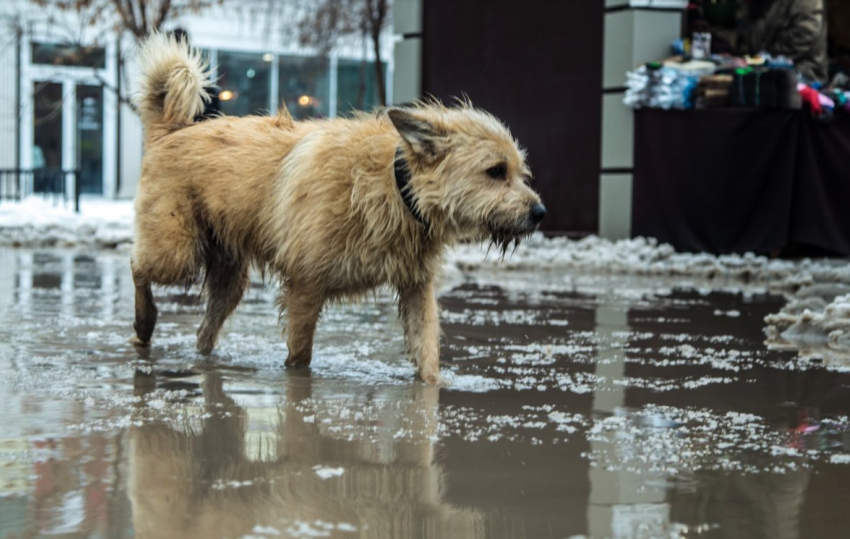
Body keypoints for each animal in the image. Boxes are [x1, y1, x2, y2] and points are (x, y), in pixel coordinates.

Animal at [131, 33, 544, 384]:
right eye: (495, 171)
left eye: (520, 173)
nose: (540, 213)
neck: (395, 187)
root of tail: (173, 130)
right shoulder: (304, 288)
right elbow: (300, 355)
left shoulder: (416, 288)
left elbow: (427, 354)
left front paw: (432, 389)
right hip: (176, 252)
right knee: (138, 266)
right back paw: (144, 323)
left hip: (230, 277)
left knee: (205, 330)